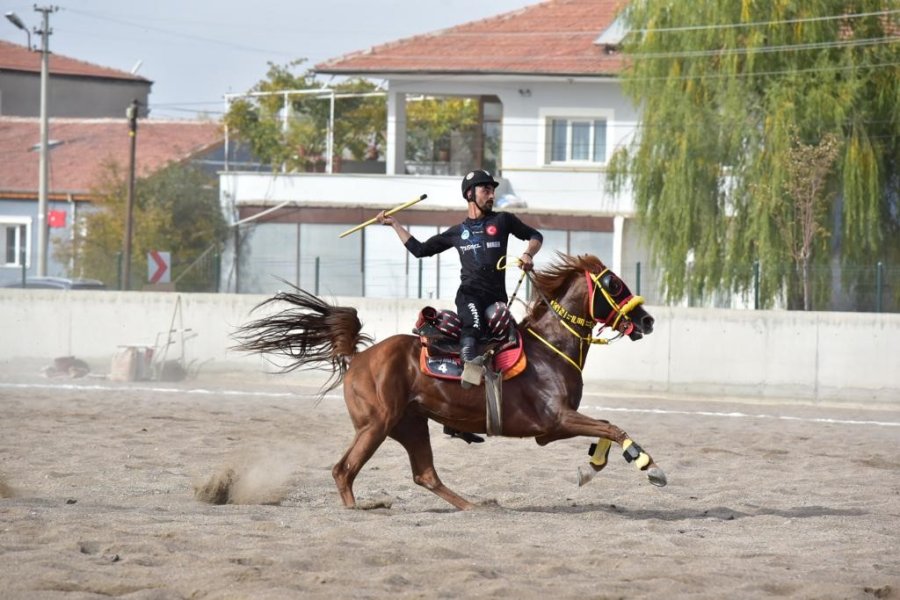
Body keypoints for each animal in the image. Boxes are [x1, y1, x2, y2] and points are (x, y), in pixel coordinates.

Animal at [239, 254, 668, 510]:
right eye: (613, 285)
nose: (648, 320)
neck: (549, 350)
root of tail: (358, 357)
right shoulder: (555, 421)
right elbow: (612, 428)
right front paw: (648, 466)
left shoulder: (557, 425)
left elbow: (606, 431)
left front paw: (592, 467)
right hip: (376, 425)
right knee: (343, 469)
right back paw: (358, 508)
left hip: (411, 424)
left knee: (424, 474)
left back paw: (474, 506)